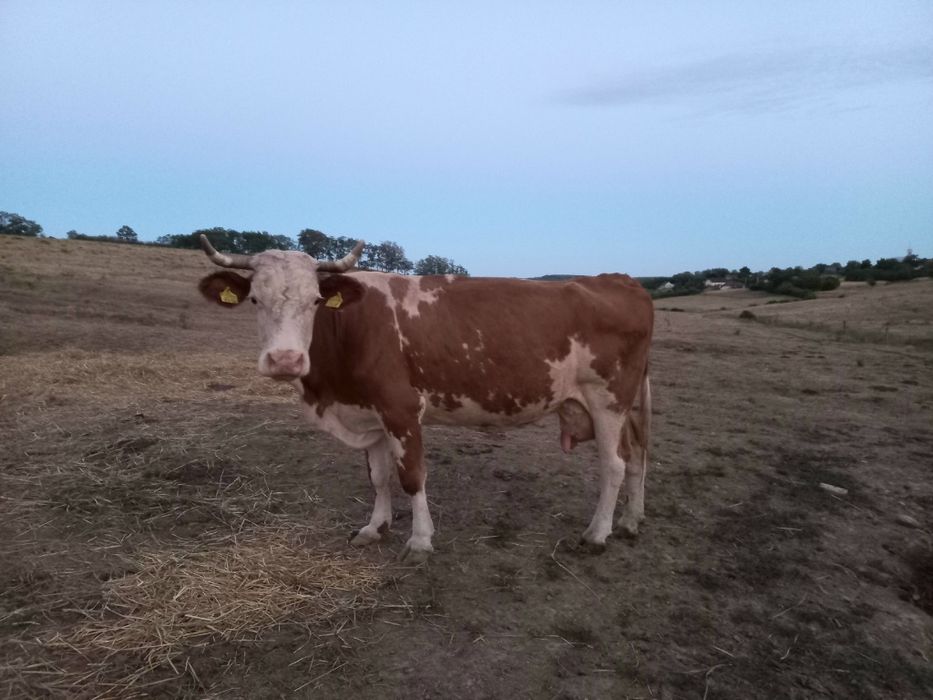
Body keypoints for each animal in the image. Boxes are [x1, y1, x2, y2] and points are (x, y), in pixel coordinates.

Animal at [197, 235, 653, 563]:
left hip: (607, 398)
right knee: (636, 455)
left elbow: (412, 477)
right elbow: (378, 477)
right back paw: (630, 521)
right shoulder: (370, 414)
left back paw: (597, 534)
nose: (285, 360)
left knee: (614, 464)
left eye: (315, 301)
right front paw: (374, 528)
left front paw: (419, 541)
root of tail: (618, 279)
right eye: (255, 299)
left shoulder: (401, 409)